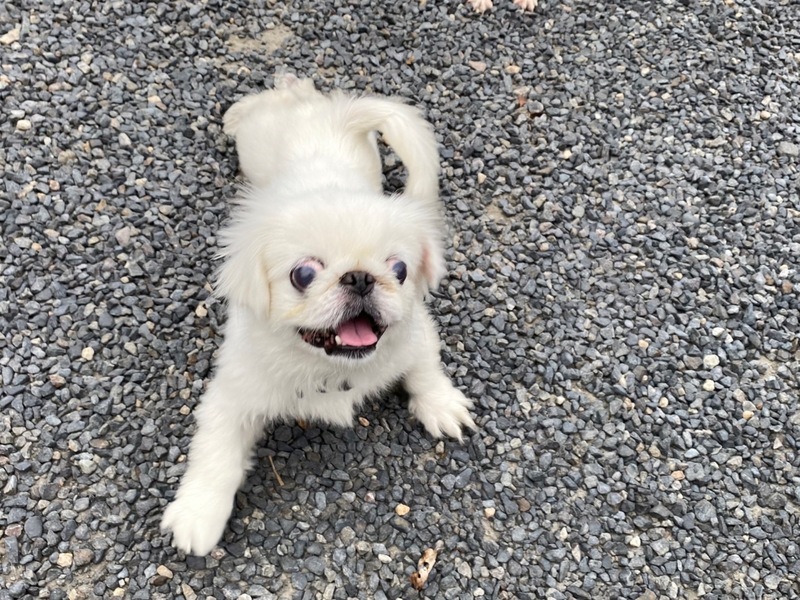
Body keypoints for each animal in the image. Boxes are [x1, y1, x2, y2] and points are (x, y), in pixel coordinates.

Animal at [160, 75, 476, 556]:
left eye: (400, 270)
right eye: (303, 274)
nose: (360, 277)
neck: (331, 368)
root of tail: (329, 113)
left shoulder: (416, 331)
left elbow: (426, 371)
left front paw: (442, 406)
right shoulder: (233, 395)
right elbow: (216, 454)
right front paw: (197, 517)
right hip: (255, 142)